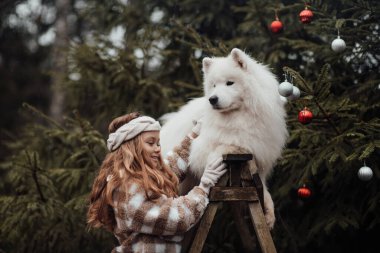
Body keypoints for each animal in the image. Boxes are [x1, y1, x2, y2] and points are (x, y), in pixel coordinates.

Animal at [160, 48, 288, 228]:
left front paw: (268, 213)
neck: (239, 117)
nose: (212, 99)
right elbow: (227, 145)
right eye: (214, 85)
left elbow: (262, 186)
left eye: (229, 83)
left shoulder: (259, 157)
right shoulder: (201, 149)